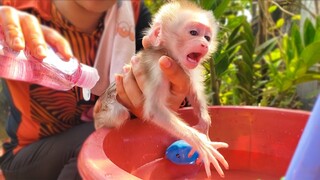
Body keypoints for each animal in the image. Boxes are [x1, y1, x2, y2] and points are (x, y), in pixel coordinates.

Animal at [94, 0, 229, 177]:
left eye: (207, 37)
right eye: (193, 32)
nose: (204, 44)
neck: (170, 55)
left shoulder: (190, 69)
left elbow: (193, 91)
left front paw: (204, 124)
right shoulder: (157, 66)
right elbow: (154, 110)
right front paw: (200, 142)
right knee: (120, 114)